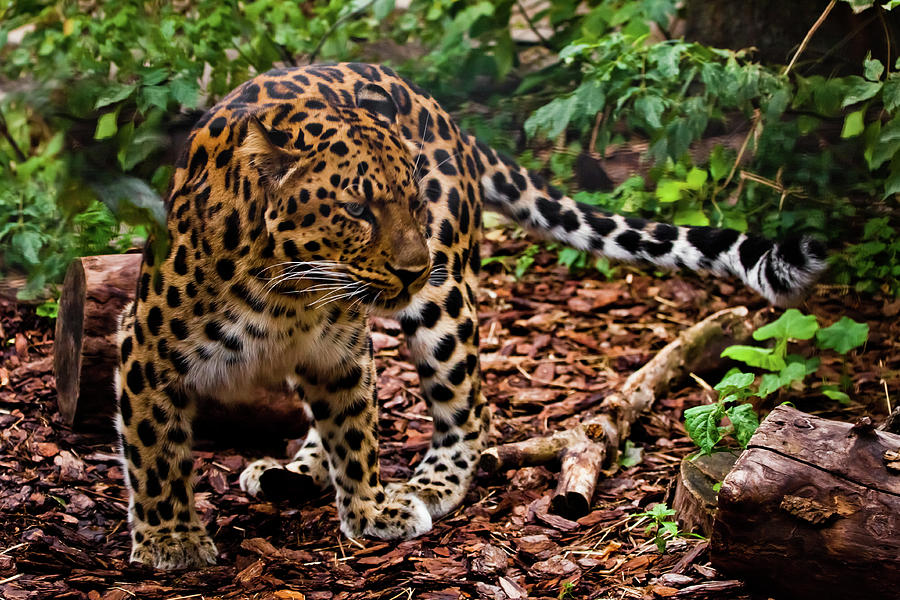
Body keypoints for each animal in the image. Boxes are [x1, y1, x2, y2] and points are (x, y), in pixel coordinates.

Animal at [110, 62, 824, 572]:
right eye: (356, 210)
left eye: (411, 196)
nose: (412, 267)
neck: (287, 296)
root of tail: (429, 100)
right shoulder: (146, 350)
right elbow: (156, 452)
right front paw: (171, 539)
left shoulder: (343, 352)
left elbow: (356, 435)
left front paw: (373, 508)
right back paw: (294, 471)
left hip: (445, 304)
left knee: (472, 412)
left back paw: (429, 484)